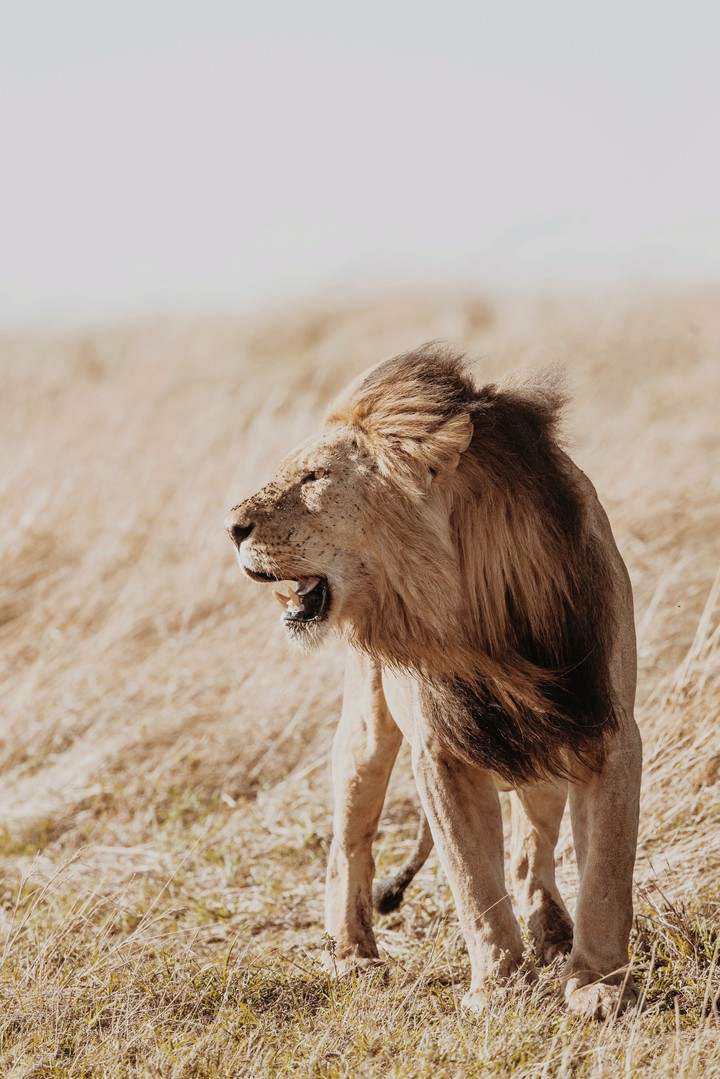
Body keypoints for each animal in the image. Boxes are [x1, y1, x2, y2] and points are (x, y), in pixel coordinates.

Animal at [225, 345, 642, 1019]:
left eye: (314, 477)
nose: (230, 527)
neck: (476, 611)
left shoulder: (604, 729)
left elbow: (605, 874)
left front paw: (598, 987)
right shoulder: (441, 751)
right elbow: (473, 881)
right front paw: (499, 990)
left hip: (543, 749)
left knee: (529, 850)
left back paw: (553, 932)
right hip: (366, 730)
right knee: (349, 843)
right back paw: (353, 955)